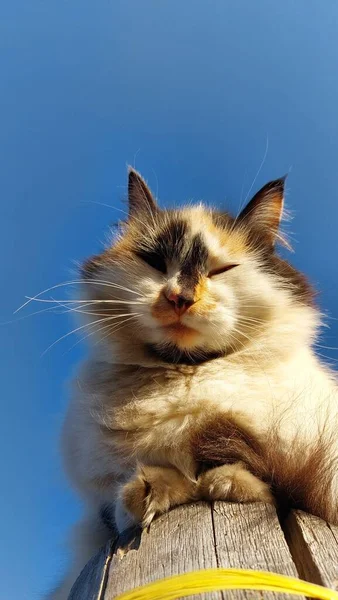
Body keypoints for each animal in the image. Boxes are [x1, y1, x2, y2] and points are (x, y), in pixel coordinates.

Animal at [46, 168, 338, 600]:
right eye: (153, 261)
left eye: (222, 270)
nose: (179, 298)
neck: (185, 377)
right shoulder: (101, 503)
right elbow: (127, 505)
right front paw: (152, 491)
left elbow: (263, 479)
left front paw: (227, 481)